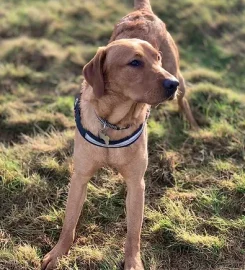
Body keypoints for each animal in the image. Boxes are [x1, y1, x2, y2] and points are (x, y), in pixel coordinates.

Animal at [42, 0, 198, 270]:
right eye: (134, 63)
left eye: (156, 59)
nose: (171, 84)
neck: (112, 124)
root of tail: (142, 10)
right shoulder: (80, 177)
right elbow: (69, 221)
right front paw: (58, 253)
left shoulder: (137, 183)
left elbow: (133, 232)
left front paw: (133, 262)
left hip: (177, 72)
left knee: (184, 100)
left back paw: (192, 124)